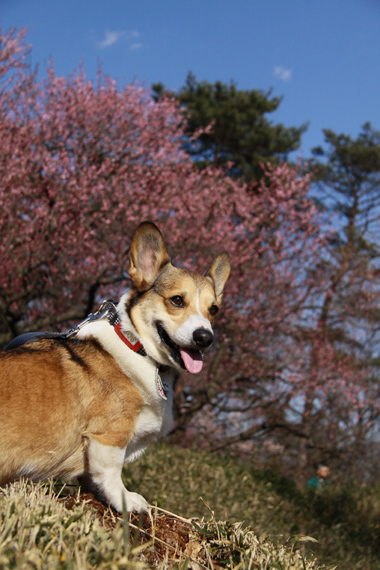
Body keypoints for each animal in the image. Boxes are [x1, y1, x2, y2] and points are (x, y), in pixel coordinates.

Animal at [0, 221, 230, 510]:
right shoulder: (108, 436)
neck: (138, 348)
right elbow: (111, 472)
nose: (205, 337)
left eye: (214, 309)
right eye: (177, 300)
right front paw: (127, 500)